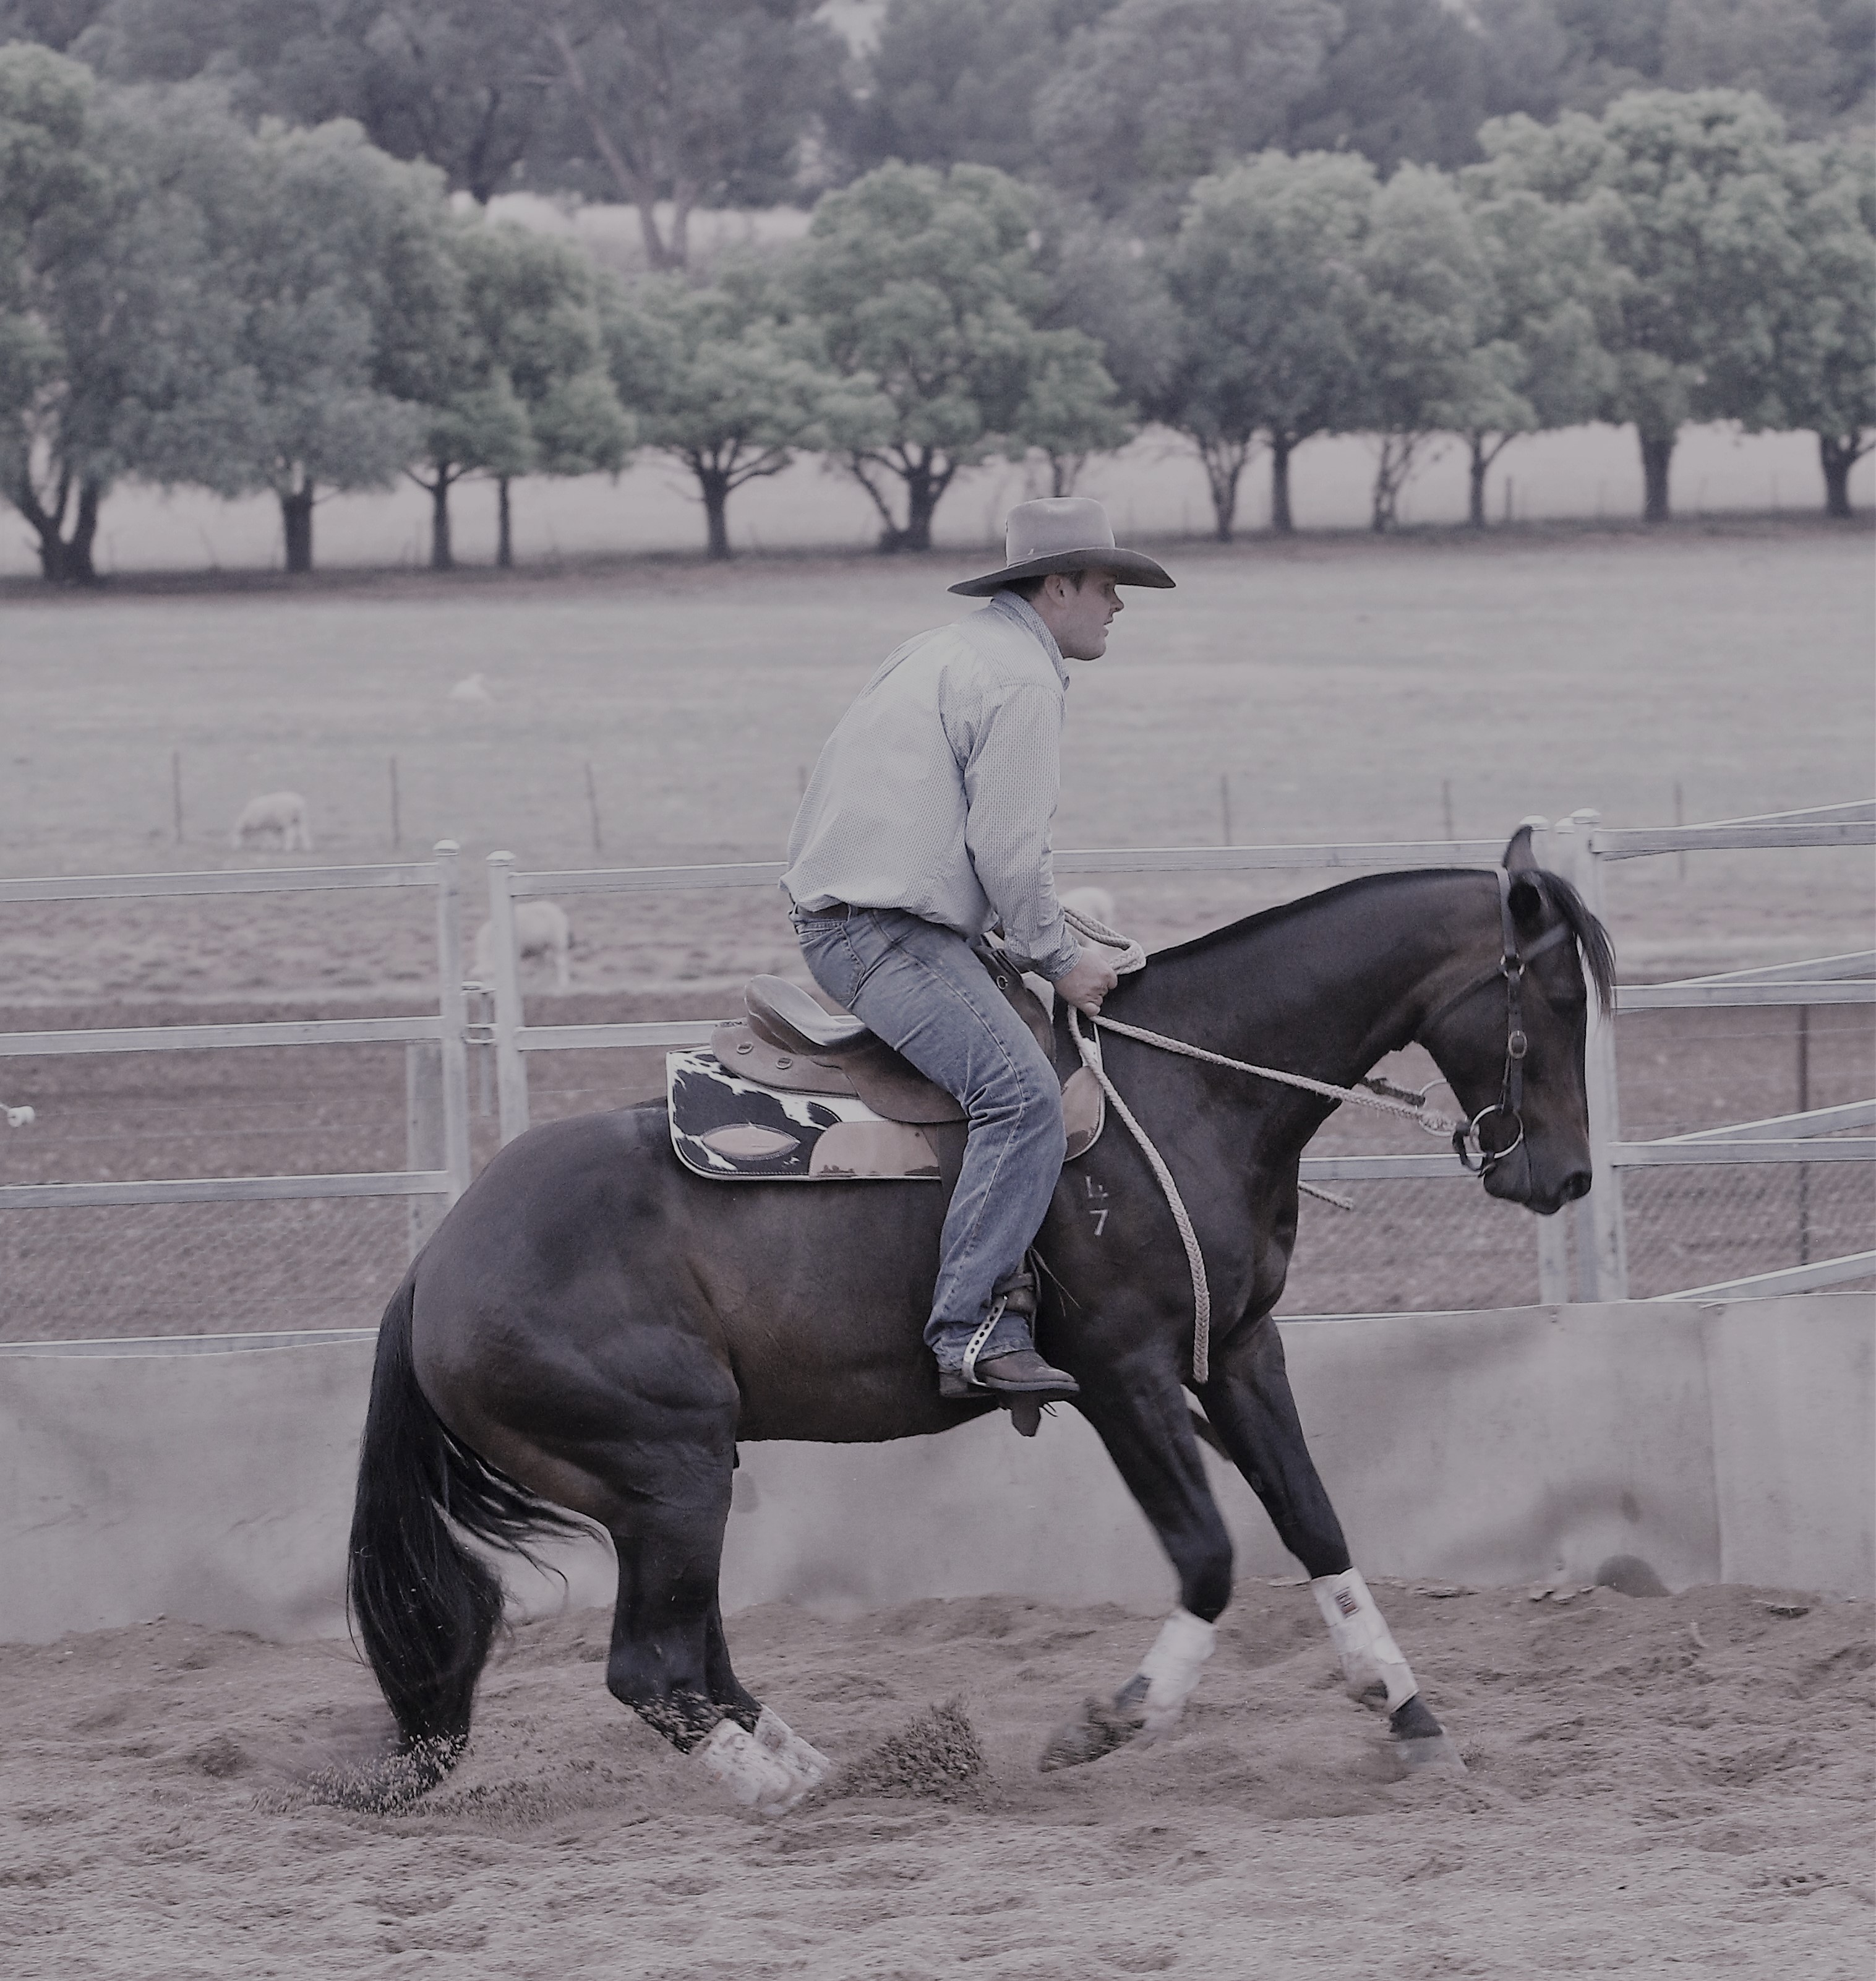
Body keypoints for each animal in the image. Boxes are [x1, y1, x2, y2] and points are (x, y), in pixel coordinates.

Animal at [231, 792, 313, 852]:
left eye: (236, 836)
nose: (235, 849)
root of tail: (298, 804)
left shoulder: (264, 825)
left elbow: (266, 837)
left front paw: (266, 847)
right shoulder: (271, 825)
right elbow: (274, 836)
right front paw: (276, 846)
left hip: (287, 819)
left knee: (291, 834)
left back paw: (288, 848)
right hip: (302, 819)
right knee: (304, 832)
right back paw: (308, 847)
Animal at [473, 900, 572, 994]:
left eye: (493, 975)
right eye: (483, 976)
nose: (487, 991)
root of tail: (556, 908)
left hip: (558, 942)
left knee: (561, 963)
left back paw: (563, 983)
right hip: (541, 947)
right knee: (542, 965)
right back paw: (538, 983)